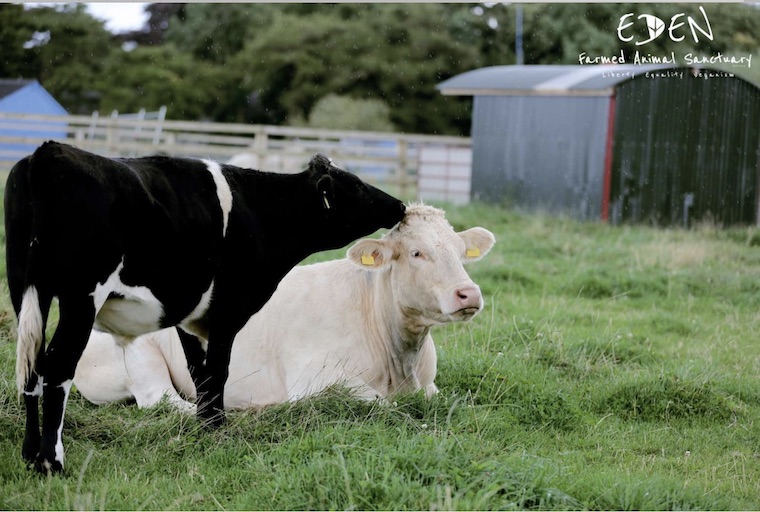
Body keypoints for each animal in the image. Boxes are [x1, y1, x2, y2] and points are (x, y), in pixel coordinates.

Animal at [5, 141, 405, 474]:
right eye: (355, 186)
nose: (400, 205)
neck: (259, 212)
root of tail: (48, 152)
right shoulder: (227, 309)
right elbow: (217, 372)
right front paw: (217, 430)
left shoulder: (189, 316)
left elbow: (199, 373)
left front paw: (206, 425)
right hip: (81, 297)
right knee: (58, 367)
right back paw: (51, 462)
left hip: (26, 291)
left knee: (31, 368)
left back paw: (28, 454)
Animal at [73, 204, 496, 410]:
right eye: (416, 252)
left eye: (460, 251)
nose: (468, 294)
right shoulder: (318, 382)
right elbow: (380, 403)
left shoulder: (429, 385)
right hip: (141, 359)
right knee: (161, 401)